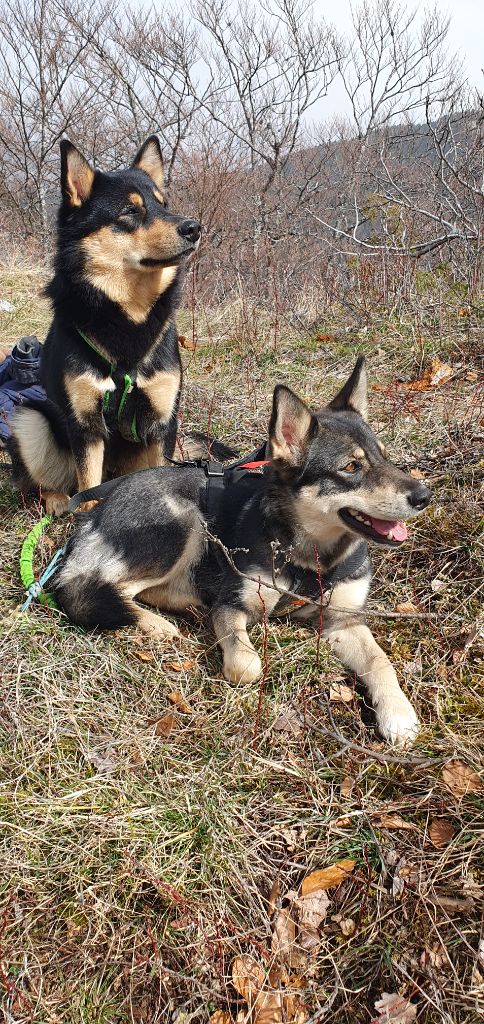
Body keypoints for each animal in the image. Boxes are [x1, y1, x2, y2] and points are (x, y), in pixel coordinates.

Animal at [51, 358, 429, 745]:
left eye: (385, 457)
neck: (310, 558)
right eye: (351, 467)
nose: (423, 497)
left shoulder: (344, 619)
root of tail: (94, 512)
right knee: (92, 591)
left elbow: (380, 661)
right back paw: (157, 624)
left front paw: (399, 714)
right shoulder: (234, 606)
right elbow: (247, 665)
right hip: (184, 520)